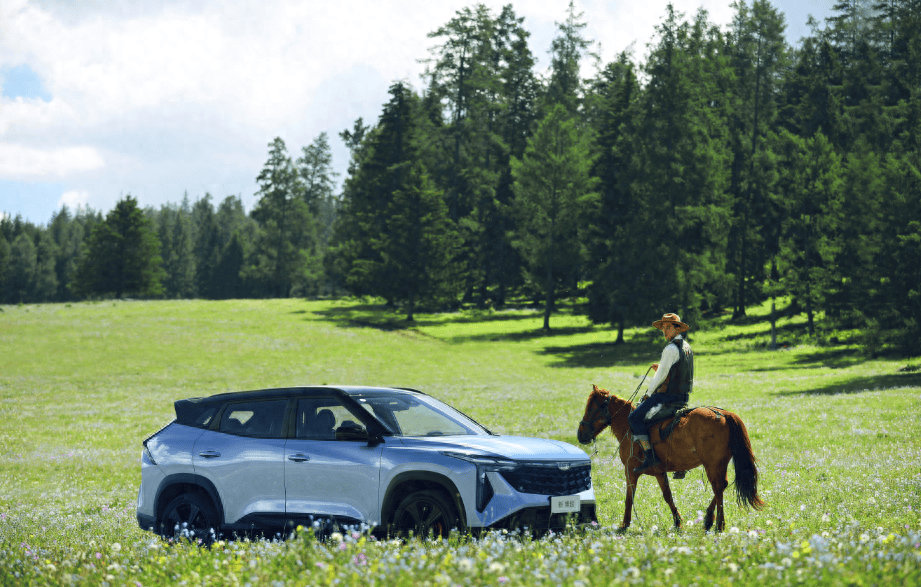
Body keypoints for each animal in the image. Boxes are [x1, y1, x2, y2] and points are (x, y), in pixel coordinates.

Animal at [576, 384, 760, 536]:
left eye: (591, 407)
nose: (580, 434)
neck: (629, 428)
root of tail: (724, 414)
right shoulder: (659, 472)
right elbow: (667, 496)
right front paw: (678, 522)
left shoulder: (630, 470)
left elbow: (629, 496)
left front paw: (624, 524)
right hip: (719, 463)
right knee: (722, 485)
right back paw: (709, 520)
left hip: (712, 464)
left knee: (718, 487)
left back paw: (719, 524)